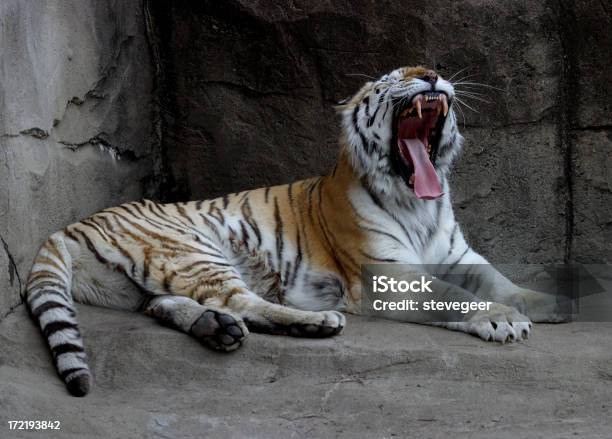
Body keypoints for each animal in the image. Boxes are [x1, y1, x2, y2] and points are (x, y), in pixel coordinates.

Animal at [26, 66, 556, 398]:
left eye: (430, 68)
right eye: (392, 80)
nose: (430, 75)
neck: (417, 202)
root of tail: (70, 225)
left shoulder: (460, 255)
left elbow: (499, 280)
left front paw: (548, 302)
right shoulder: (388, 275)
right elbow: (453, 296)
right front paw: (501, 319)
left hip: (151, 279)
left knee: (169, 304)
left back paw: (215, 328)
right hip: (191, 248)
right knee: (241, 302)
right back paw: (316, 322)